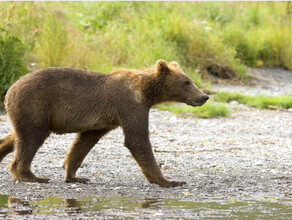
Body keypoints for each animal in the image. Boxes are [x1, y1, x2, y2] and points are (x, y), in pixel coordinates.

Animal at [0, 60, 210, 187]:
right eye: (186, 82)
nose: (204, 96)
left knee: (16, 136)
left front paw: (75, 175)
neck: (147, 94)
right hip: (35, 106)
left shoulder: (103, 121)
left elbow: (84, 142)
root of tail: (11, 88)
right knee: (31, 138)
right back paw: (30, 175)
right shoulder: (129, 106)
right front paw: (168, 180)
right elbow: (137, 139)